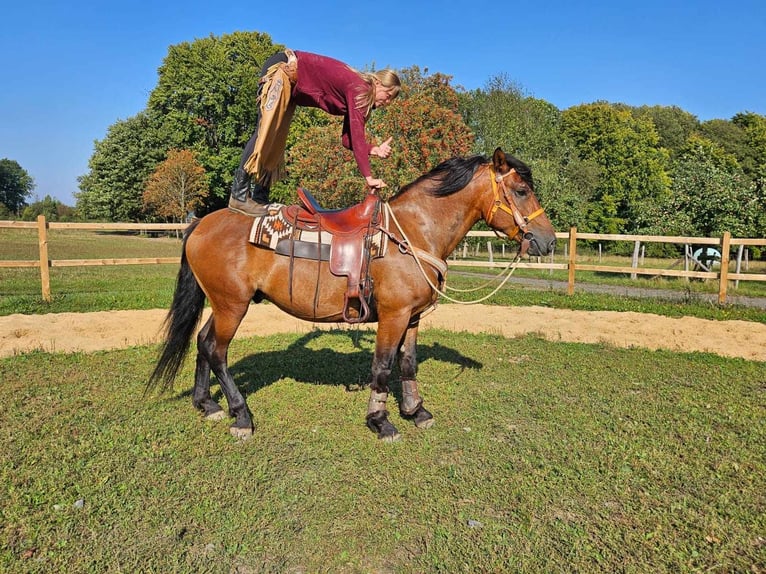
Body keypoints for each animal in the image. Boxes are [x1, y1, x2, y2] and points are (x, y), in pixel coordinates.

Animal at [147, 147, 560, 440]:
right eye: (521, 190)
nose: (548, 240)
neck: (413, 234)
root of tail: (201, 223)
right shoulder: (393, 316)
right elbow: (382, 365)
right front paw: (381, 420)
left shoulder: (413, 317)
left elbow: (408, 364)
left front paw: (416, 411)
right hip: (233, 305)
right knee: (217, 351)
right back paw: (241, 415)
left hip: (222, 304)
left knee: (203, 342)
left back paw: (208, 405)